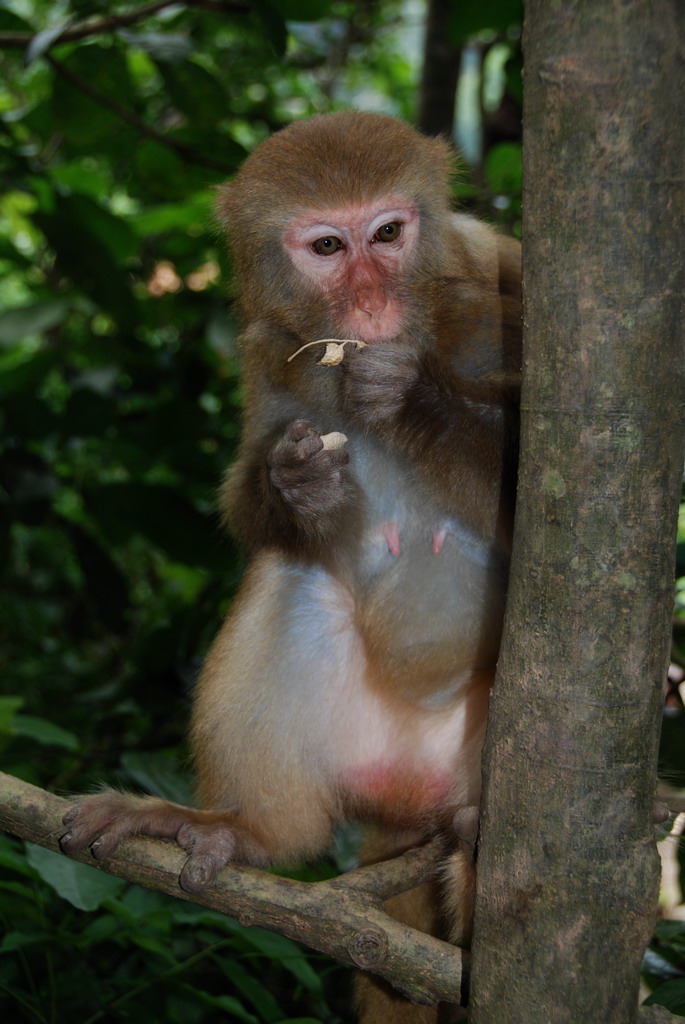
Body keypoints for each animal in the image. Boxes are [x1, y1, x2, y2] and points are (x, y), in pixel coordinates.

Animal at [60, 108, 518, 1019]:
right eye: (329, 248)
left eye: (388, 233)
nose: (371, 303)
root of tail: (410, 790)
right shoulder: (265, 349)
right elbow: (257, 507)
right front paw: (295, 482)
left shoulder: (501, 280)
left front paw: (413, 400)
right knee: (293, 575)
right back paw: (243, 833)